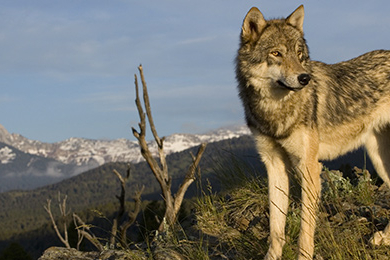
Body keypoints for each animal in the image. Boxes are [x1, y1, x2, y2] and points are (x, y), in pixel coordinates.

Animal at [235, 4, 390, 260]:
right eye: (276, 53)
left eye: (299, 54)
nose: (304, 78)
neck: (276, 110)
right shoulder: (274, 165)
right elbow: (276, 229)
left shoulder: (309, 167)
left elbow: (305, 232)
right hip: (379, 158)